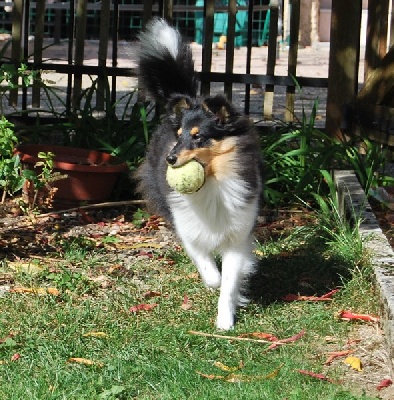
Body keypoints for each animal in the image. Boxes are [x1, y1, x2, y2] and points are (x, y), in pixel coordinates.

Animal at [137, 18, 264, 330]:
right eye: (180, 135)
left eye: (198, 137)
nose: (170, 159)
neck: (213, 184)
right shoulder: (187, 226)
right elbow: (209, 268)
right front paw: (213, 280)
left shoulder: (239, 235)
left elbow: (229, 282)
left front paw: (225, 321)